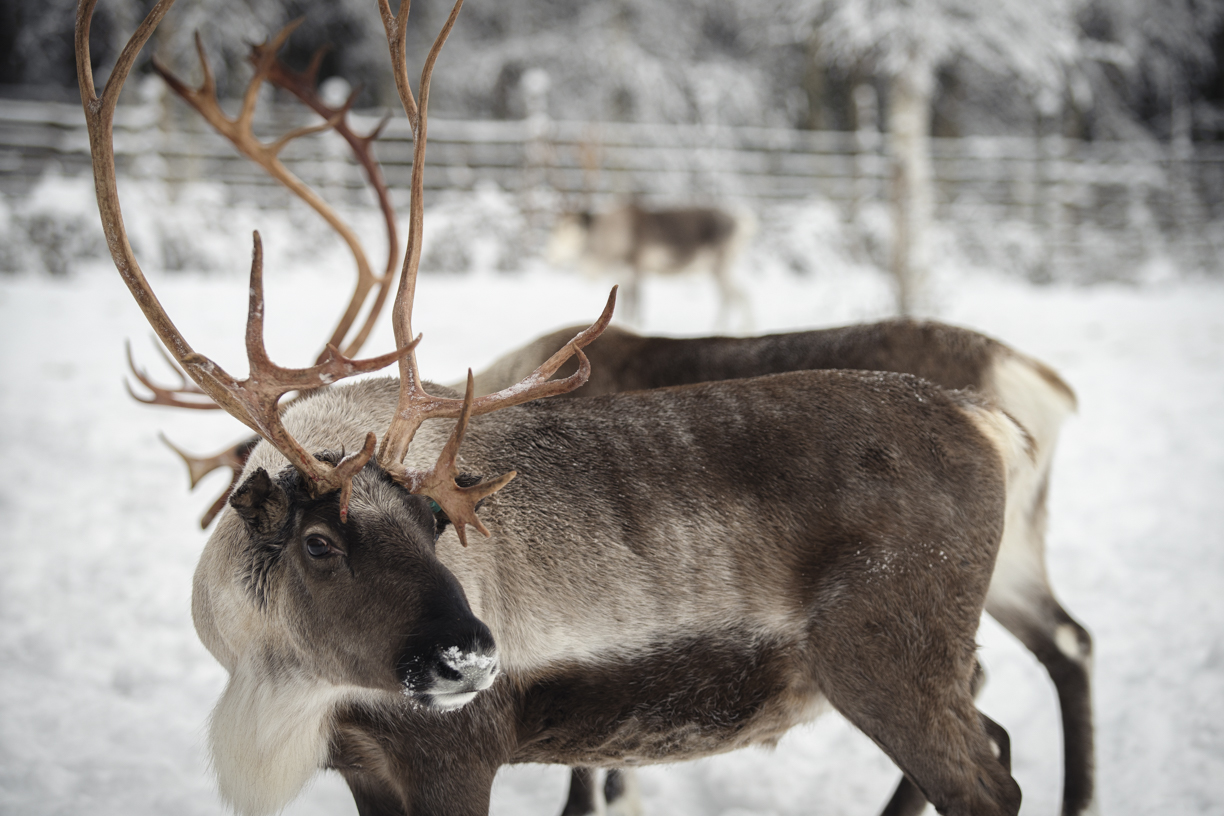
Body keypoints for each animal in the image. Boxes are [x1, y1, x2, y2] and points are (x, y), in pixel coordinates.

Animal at [546, 203, 756, 331]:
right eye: (555, 230)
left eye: (572, 230)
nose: (551, 256)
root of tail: (743, 223)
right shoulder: (623, 275)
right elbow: (623, 307)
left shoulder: (637, 269)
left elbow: (635, 305)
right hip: (717, 269)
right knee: (733, 295)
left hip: (721, 265)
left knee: (735, 294)